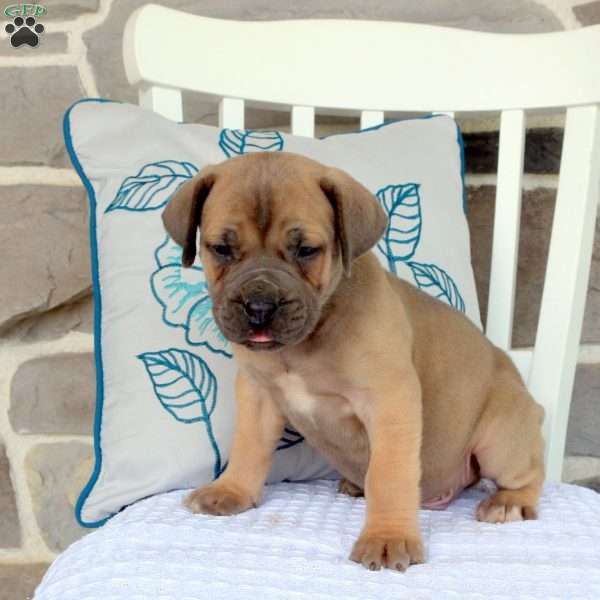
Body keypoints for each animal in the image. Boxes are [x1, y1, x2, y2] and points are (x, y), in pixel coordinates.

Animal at [162, 151, 548, 572]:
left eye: (306, 250)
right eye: (221, 249)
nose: (260, 306)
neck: (304, 343)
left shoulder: (389, 402)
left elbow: (388, 475)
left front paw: (387, 537)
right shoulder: (258, 394)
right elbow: (249, 445)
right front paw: (232, 490)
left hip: (500, 440)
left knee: (530, 472)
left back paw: (509, 502)